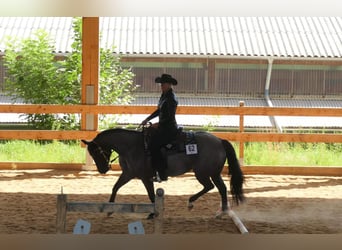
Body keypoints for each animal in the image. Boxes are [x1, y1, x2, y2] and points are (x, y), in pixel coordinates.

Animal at [81, 128, 244, 218]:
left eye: (96, 152)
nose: (102, 170)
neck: (132, 147)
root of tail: (220, 140)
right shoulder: (128, 174)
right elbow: (115, 187)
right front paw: (109, 210)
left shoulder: (145, 178)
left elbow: (151, 195)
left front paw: (154, 213)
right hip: (213, 173)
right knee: (221, 188)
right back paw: (221, 212)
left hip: (203, 173)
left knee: (211, 187)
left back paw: (193, 203)